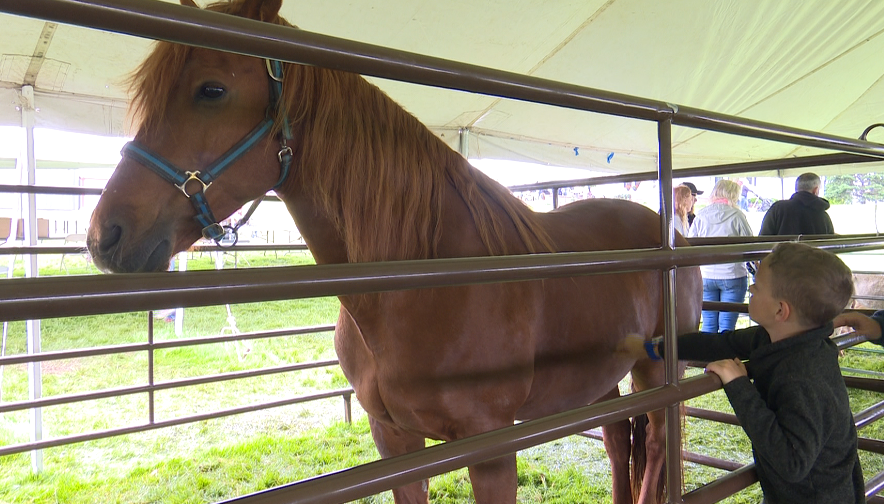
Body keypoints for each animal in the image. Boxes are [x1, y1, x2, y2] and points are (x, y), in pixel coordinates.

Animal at [86, 1, 700, 502]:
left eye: (211, 89)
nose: (103, 236)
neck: (424, 281)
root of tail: (667, 228)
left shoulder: (491, 447)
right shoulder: (395, 440)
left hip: (656, 371)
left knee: (657, 448)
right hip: (604, 380)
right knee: (620, 440)